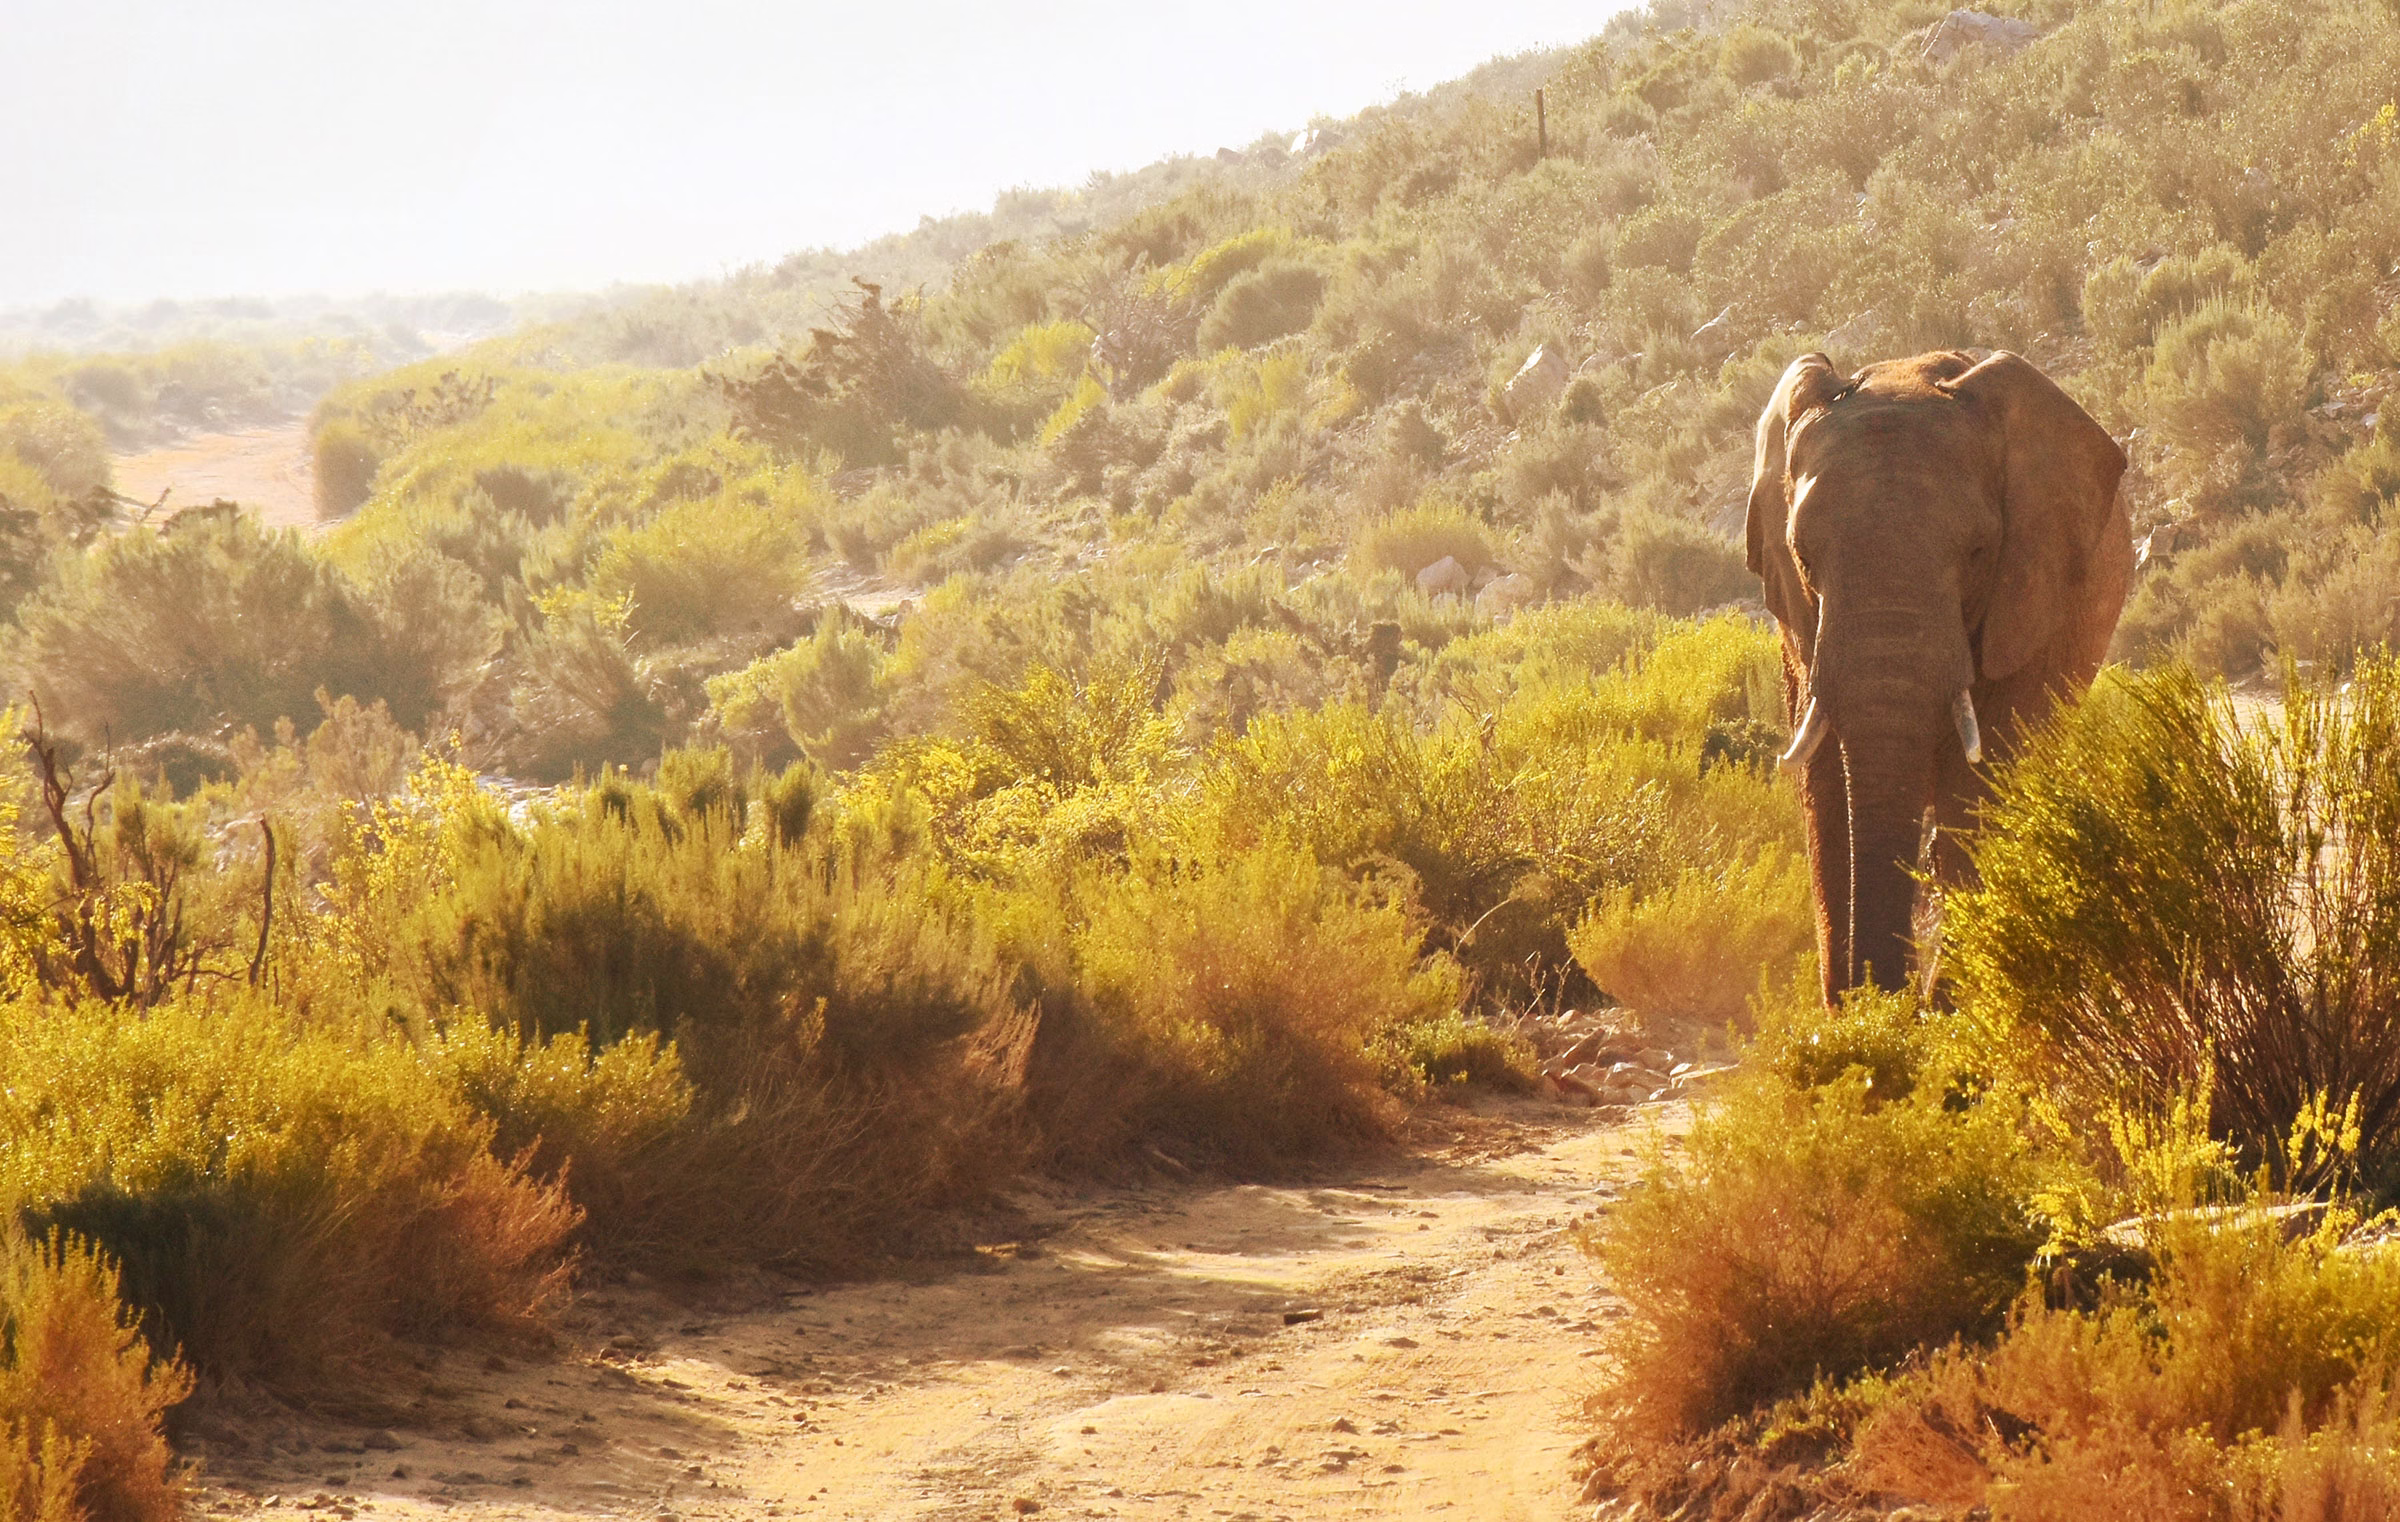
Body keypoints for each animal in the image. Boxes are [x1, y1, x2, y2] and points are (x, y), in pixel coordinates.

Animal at [1745, 349, 2133, 1001]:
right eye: (1803, 556)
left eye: (1977, 552)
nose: (1884, 995)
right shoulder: (1800, 639)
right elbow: (1825, 795)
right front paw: (1855, 1016)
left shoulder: (2030, 610)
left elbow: (1977, 788)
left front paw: (1948, 1010)